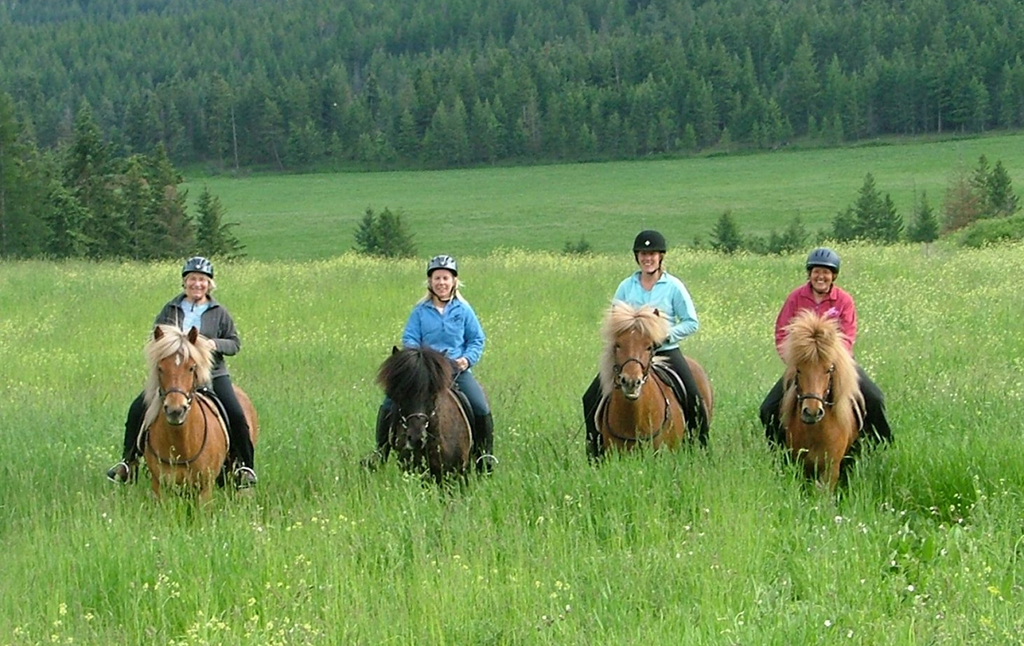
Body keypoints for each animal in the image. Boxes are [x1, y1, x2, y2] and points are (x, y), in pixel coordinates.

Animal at [778, 310, 864, 491]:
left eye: (828, 369)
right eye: (799, 370)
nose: (812, 412)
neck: (815, 431)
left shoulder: (831, 469)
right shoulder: (801, 465)